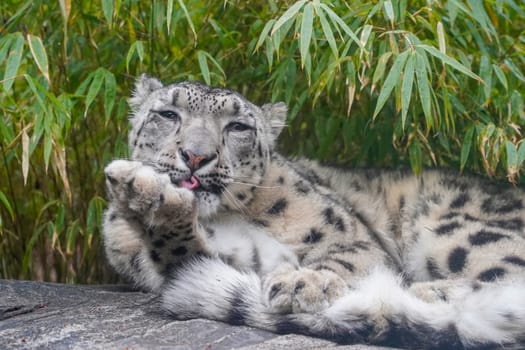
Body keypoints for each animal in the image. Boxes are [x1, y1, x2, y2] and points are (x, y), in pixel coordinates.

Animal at [101, 75, 524, 348]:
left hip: (454, 232)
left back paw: (422, 292)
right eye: (168, 114)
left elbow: (346, 255)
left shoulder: (353, 236)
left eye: (238, 127)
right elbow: (184, 252)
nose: (196, 155)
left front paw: (304, 283)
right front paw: (145, 194)